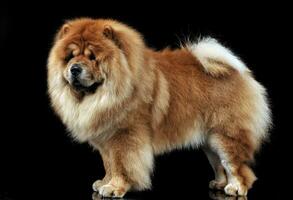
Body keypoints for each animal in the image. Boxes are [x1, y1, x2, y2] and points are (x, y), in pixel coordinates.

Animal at [47, 18, 270, 198]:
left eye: (93, 57)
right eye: (69, 57)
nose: (75, 69)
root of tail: (238, 72)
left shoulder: (124, 137)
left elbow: (122, 165)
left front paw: (114, 188)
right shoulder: (106, 140)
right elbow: (109, 164)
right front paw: (104, 181)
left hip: (225, 135)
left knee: (236, 166)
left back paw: (236, 188)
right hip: (209, 140)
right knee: (219, 163)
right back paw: (219, 184)